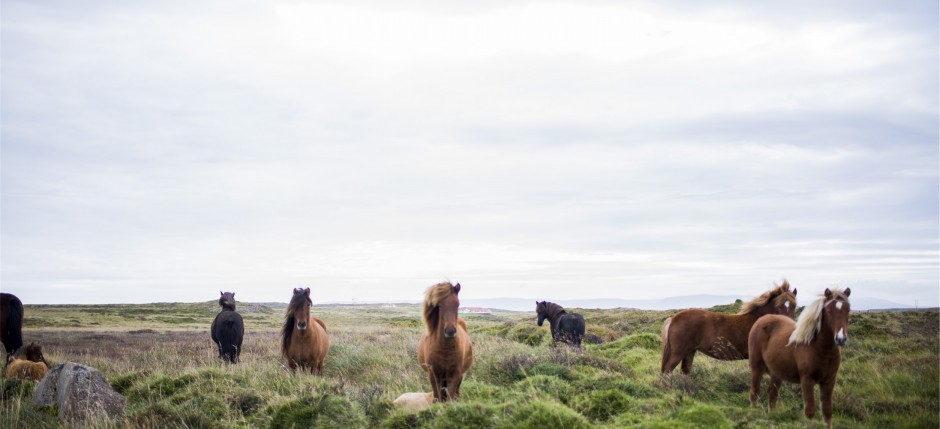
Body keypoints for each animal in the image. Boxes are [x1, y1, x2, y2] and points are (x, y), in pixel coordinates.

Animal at [656, 278, 796, 374]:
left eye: (794, 306)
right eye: (779, 306)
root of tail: (673, 318)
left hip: (689, 352)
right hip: (678, 353)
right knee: (667, 372)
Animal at [748, 288, 852, 428]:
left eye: (848, 310)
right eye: (829, 310)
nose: (840, 339)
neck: (821, 349)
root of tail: (761, 320)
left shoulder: (829, 381)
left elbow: (827, 411)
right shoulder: (807, 380)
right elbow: (809, 411)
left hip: (777, 373)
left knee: (772, 394)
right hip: (757, 368)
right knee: (754, 392)